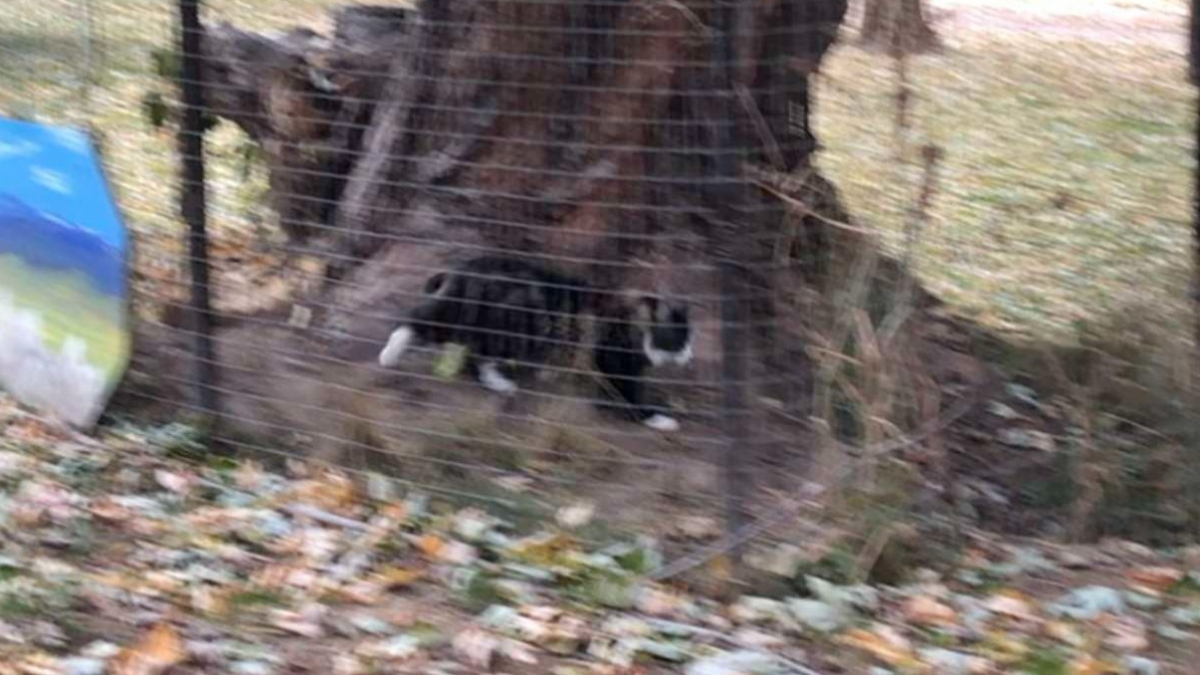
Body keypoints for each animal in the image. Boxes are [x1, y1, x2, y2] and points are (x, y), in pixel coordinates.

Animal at [374, 254, 696, 427]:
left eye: (688, 338)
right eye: (680, 339)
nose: (690, 355)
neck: (632, 320)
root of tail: (462, 270)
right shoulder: (613, 360)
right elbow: (629, 395)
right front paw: (656, 418)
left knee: (475, 355)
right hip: (488, 324)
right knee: (416, 322)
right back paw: (389, 354)